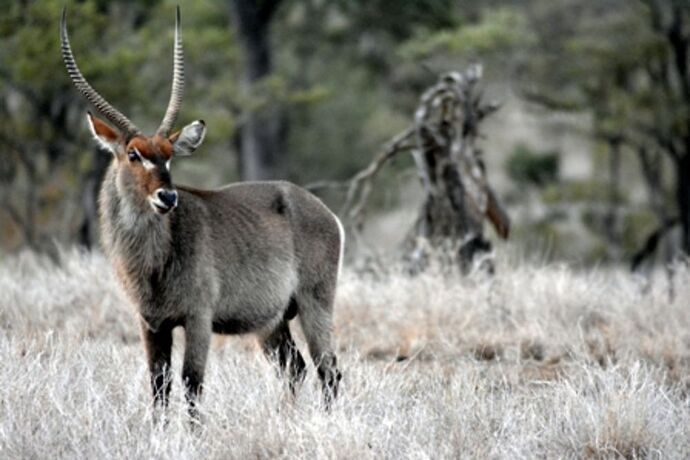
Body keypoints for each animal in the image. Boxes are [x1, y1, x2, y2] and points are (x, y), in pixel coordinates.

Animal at [58, 7, 342, 416]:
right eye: (134, 154)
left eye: (169, 155)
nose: (167, 197)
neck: (154, 259)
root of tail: (322, 210)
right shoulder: (151, 323)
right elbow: (158, 385)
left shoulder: (198, 318)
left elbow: (192, 382)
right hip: (271, 321)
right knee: (295, 367)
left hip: (315, 303)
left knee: (328, 370)